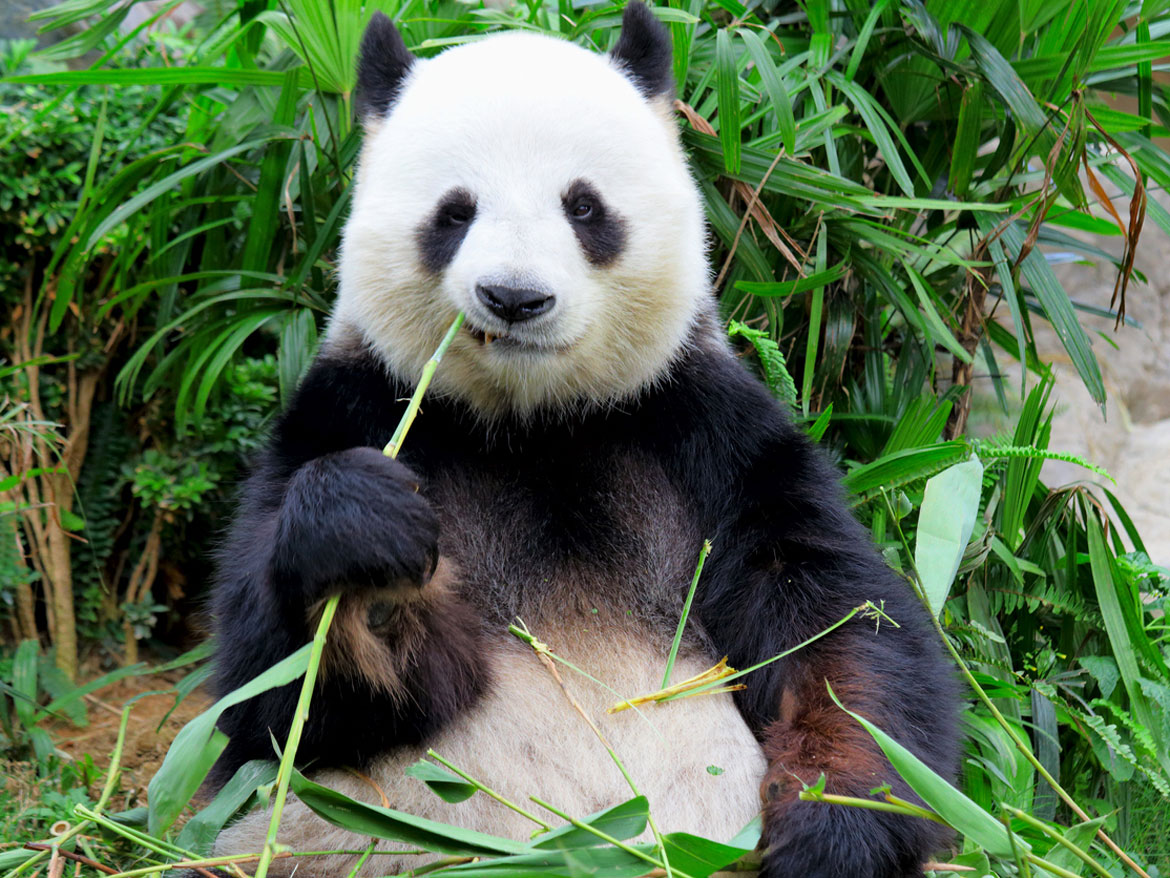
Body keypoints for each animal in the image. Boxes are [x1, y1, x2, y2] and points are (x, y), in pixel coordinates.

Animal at [208, 5, 958, 877]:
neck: (534, 422)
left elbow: (837, 627)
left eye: (584, 207)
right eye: (454, 212)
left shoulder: (704, 430)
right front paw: (366, 553)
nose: (514, 298)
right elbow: (276, 701)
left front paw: (835, 829)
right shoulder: (352, 408)